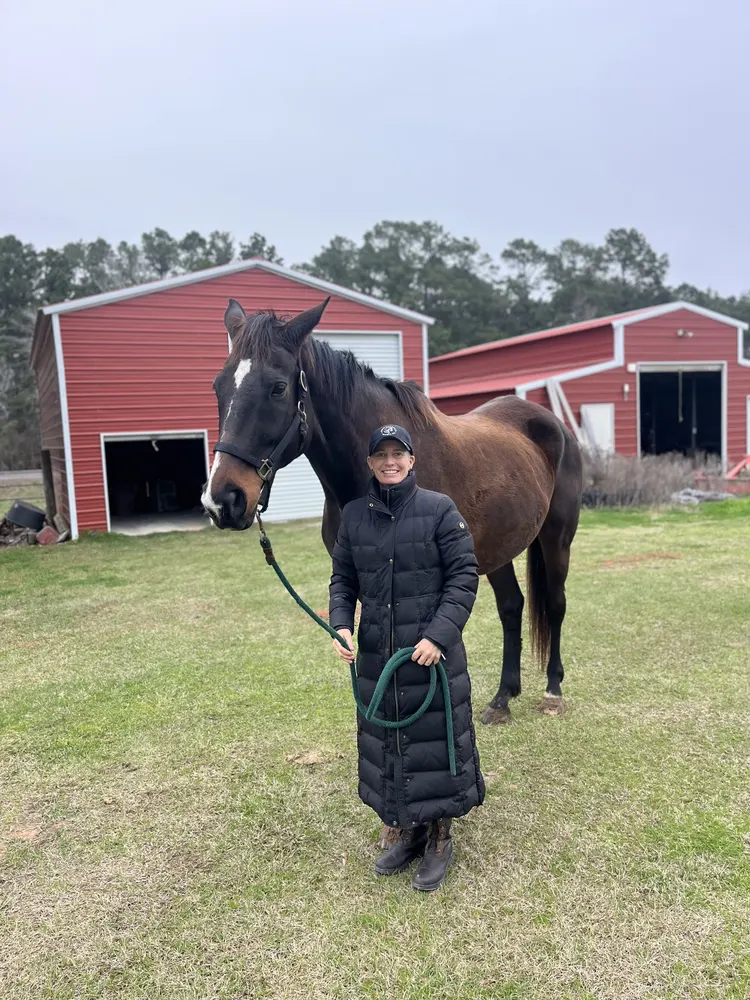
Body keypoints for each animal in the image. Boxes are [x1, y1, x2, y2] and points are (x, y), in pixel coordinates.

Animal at [202, 298, 583, 725]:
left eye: (278, 387)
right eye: (218, 386)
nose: (222, 500)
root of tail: (552, 423)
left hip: (556, 539)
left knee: (555, 604)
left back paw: (553, 690)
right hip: (497, 550)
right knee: (512, 607)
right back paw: (503, 697)